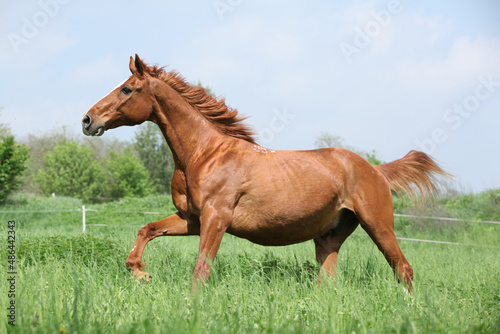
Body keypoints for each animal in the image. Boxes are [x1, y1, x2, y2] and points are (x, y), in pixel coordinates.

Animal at [82, 53, 450, 290]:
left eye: (127, 89)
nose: (88, 120)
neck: (205, 154)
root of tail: (375, 170)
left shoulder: (216, 219)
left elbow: (201, 271)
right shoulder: (192, 219)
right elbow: (146, 231)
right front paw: (141, 274)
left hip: (378, 225)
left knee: (403, 269)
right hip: (329, 236)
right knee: (328, 282)